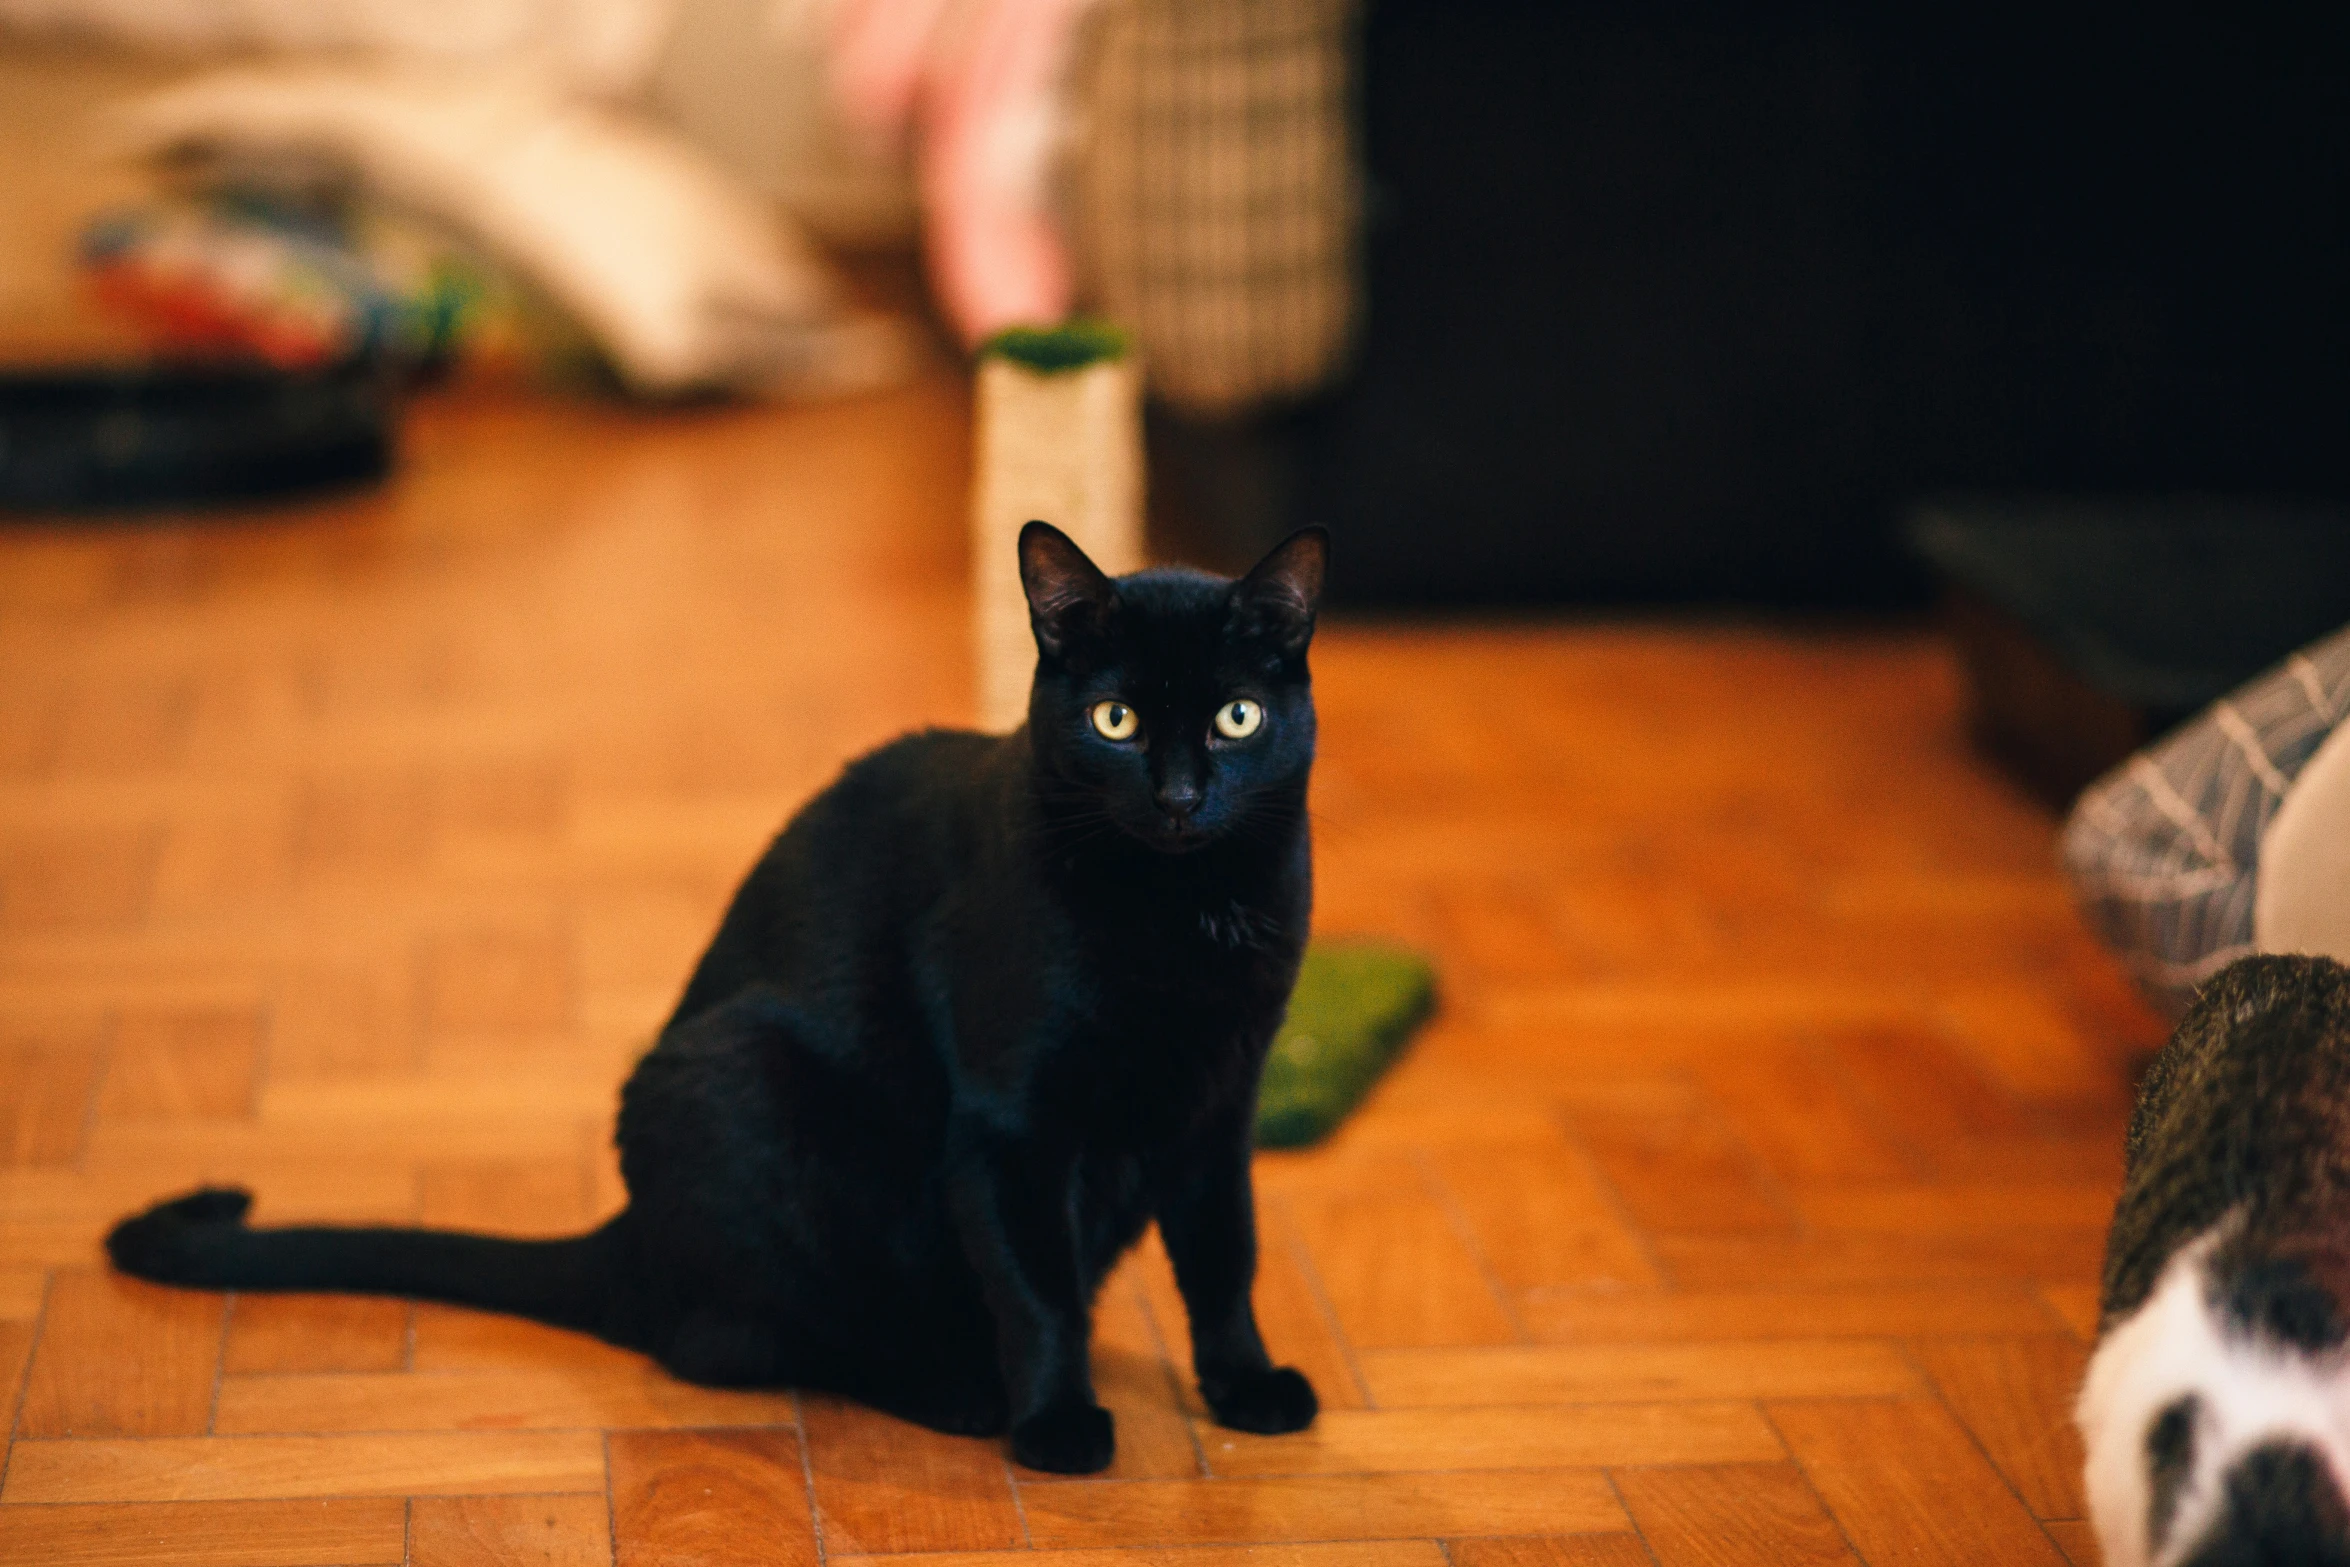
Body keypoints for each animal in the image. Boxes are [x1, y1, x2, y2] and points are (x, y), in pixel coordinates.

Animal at [110, 521, 1334, 1475]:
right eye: (1115, 721)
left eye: (1235, 717)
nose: (1180, 796)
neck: (1182, 911)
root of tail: (631, 1237)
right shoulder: (1007, 1127)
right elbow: (1034, 1288)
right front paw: (1057, 1422)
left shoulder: (1218, 1102)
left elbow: (1224, 1255)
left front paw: (1244, 1387)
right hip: (746, 1081)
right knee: (747, 1339)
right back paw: (958, 1389)